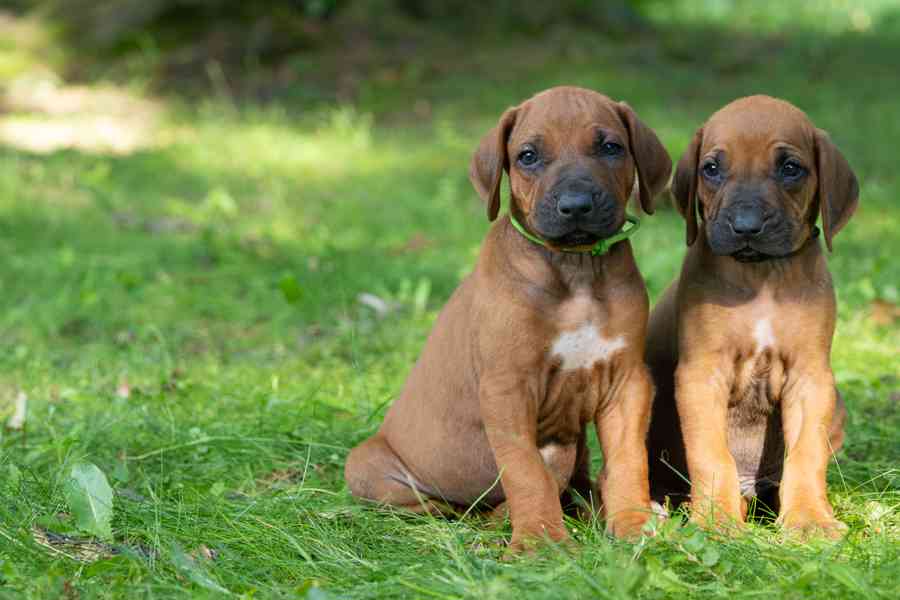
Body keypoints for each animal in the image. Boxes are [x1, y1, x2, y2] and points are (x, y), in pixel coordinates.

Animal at [348, 86, 672, 552]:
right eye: (528, 156)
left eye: (611, 147)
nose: (576, 206)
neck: (575, 270)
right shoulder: (507, 388)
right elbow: (526, 471)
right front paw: (540, 541)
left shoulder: (626, 381)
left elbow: (629, 460)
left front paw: (632, 524)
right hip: (368, 467)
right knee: (450, 506)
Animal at [644, 96, 856, 536]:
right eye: (711, 168)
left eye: (790, 168)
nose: (746, 226)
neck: (761, 274)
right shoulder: (701, 376)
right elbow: (711, 455)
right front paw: (717, 520)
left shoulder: (810, 379)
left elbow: (806, 455)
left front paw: (809, 519)